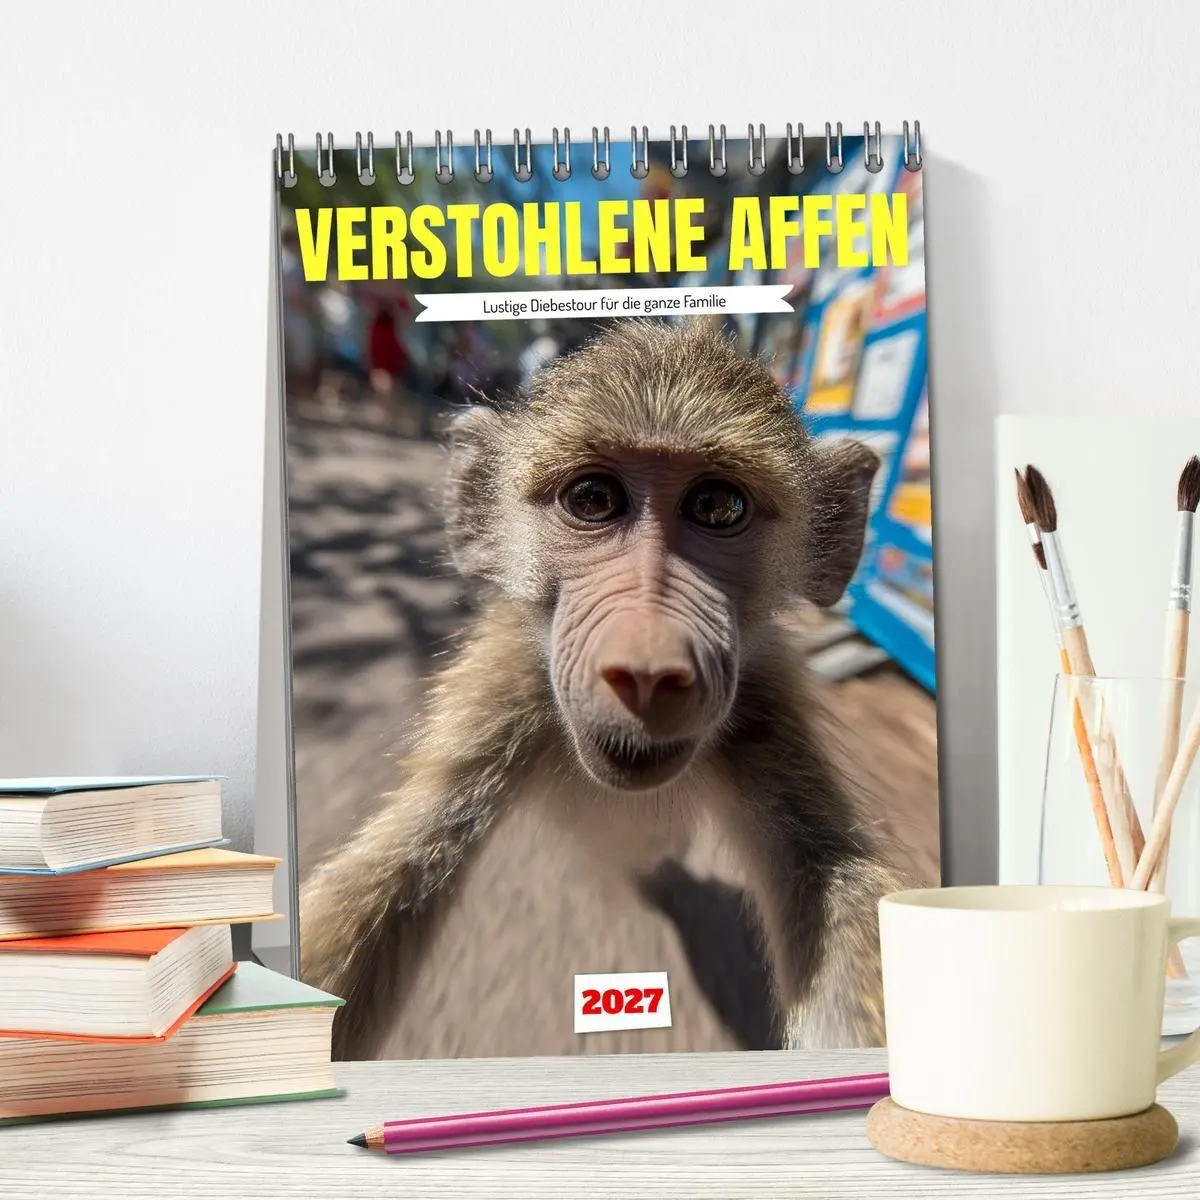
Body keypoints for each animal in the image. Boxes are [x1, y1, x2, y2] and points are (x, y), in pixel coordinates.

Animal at [299, 317, 913, 1060]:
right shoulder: (506, 690)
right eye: (592, 500)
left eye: (718, 506)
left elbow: (830, 876)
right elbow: (407, 857)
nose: (648, 668)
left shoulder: (764, 710)